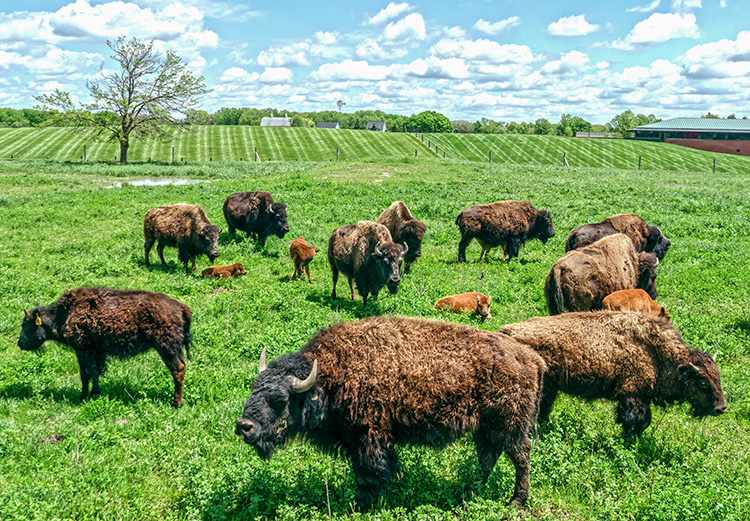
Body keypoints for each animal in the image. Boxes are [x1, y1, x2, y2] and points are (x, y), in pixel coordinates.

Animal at [18, 286, 194, 408]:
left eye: (26, 325)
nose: (20, 344)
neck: (64, 314)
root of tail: (181, 307)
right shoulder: (97, 352)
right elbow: (95, 373)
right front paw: (95, 393)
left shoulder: (83, 350)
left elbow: (85, 375)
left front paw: (83, 397)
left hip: (167, 348)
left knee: (178, 369)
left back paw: (176, 403)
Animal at [235, 314, 548, 510]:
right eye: (254, 387)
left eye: (279, 399)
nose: (244, 425)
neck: (329, 375)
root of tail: (531, 358)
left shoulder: (368, 437)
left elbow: (369, 471)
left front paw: (360, 504)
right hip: (486, 428)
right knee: (488, 456)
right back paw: (469, 490)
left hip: (510, 425)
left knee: (520, 457)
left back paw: (515, 501)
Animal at [500, 310, 728, 436]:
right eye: (702, 382)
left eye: (718, 377)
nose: (721, 408)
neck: (657, 353)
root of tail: (506, 331)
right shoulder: (630, 393)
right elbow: (638, 419)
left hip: (549, 387)